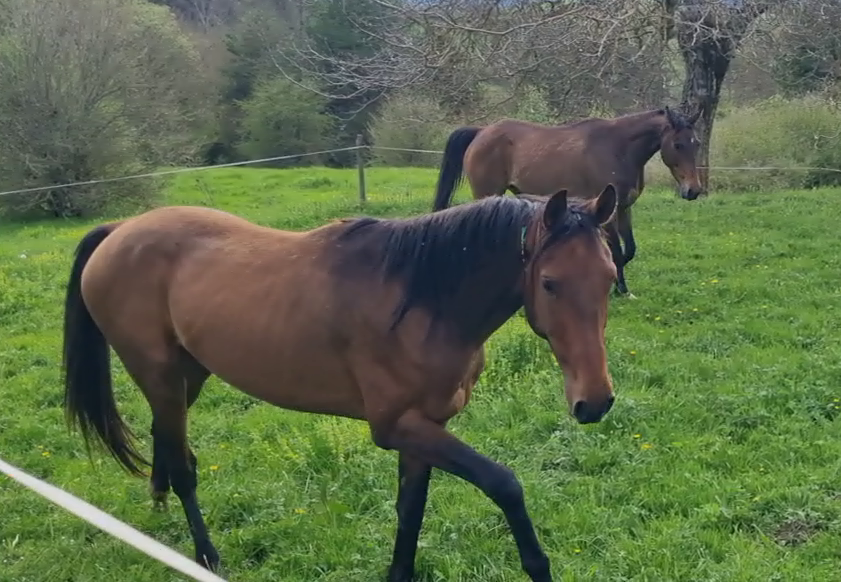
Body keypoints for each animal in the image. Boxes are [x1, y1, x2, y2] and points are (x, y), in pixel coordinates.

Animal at [61, 184, 619, 582]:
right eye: (549, 283)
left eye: (611, 277)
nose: (594, 402)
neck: (421, 301)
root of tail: (119, 230)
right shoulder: (396, 426)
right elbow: (504, 484)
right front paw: (538, 565)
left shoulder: (425, 428)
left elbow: (410, 512)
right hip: (159, 375)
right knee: (183, 467)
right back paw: (207, 556)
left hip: (185, 376)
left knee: (165, 441)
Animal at [431, 106, 703, 297]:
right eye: (678, 144)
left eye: (696, 143)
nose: (693, 190)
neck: (618, 149)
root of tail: (481, 132)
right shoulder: (608, 213)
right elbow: (616, 250)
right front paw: (619, 286)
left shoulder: (624, 208)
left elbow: (630, 249)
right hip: (487, 193)